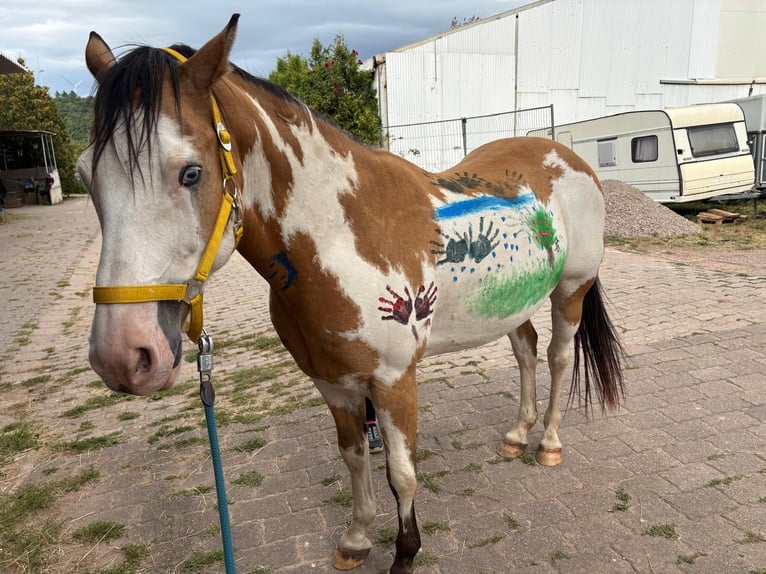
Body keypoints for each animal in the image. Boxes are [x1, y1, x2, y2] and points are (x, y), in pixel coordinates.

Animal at [79, 14, 624, 574]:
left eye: (191, 172)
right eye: (84, 174)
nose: (124, 355)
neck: (344, 233)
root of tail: (568, 158)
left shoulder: (393, 379)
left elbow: (401, 472)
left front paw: (404, 554)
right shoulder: (333, 381)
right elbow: (355, 456)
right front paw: (357, 539)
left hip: (571, 290)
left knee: (559, 357)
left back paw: (549, 443)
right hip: (511, 303)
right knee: (526, 351)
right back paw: (517, 436)